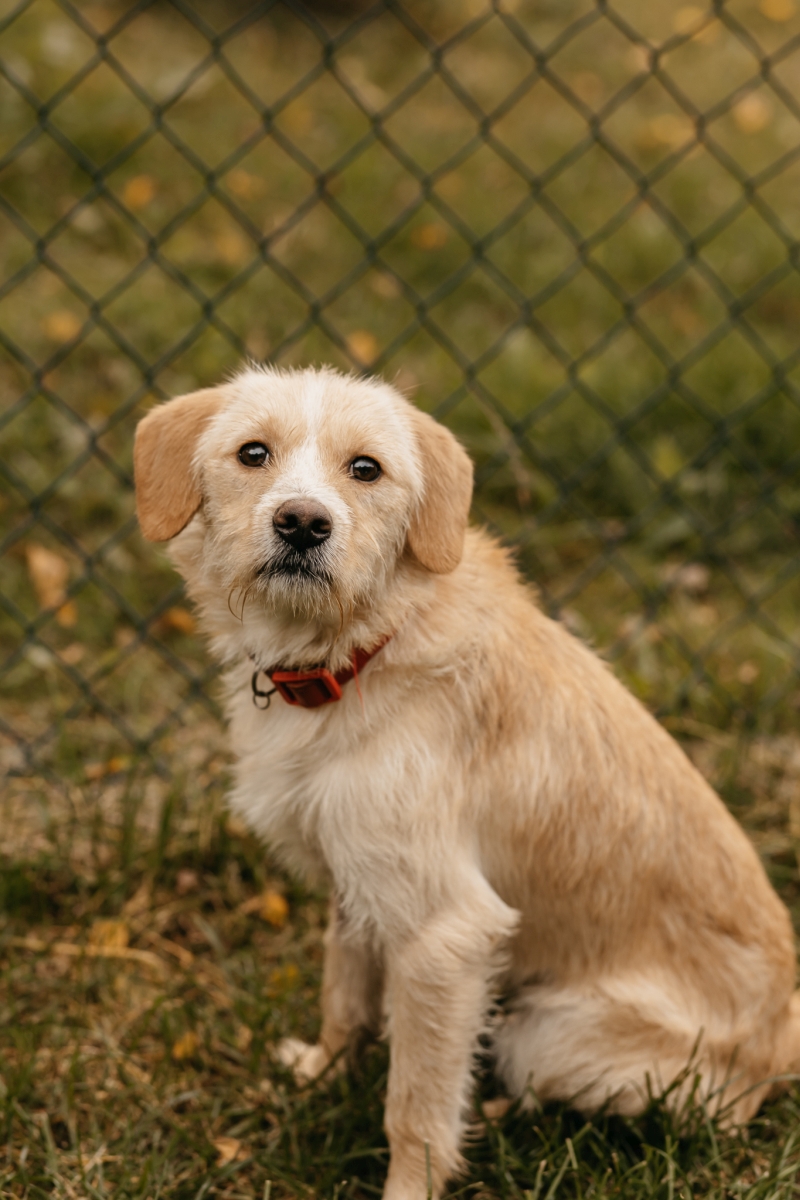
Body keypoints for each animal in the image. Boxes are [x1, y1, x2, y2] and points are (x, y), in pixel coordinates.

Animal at [134, 365, 800, 1200]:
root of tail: (783, 1043)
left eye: (365, 469)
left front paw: (408, 1186)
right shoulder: (358, 885)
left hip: (547, 1033)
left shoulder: (444, 935)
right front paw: (321, 1074)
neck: (364, 648)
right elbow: (344, 996)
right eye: (252, 453)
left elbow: (414, 1106)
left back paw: (500, 1111)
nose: (302, 524)